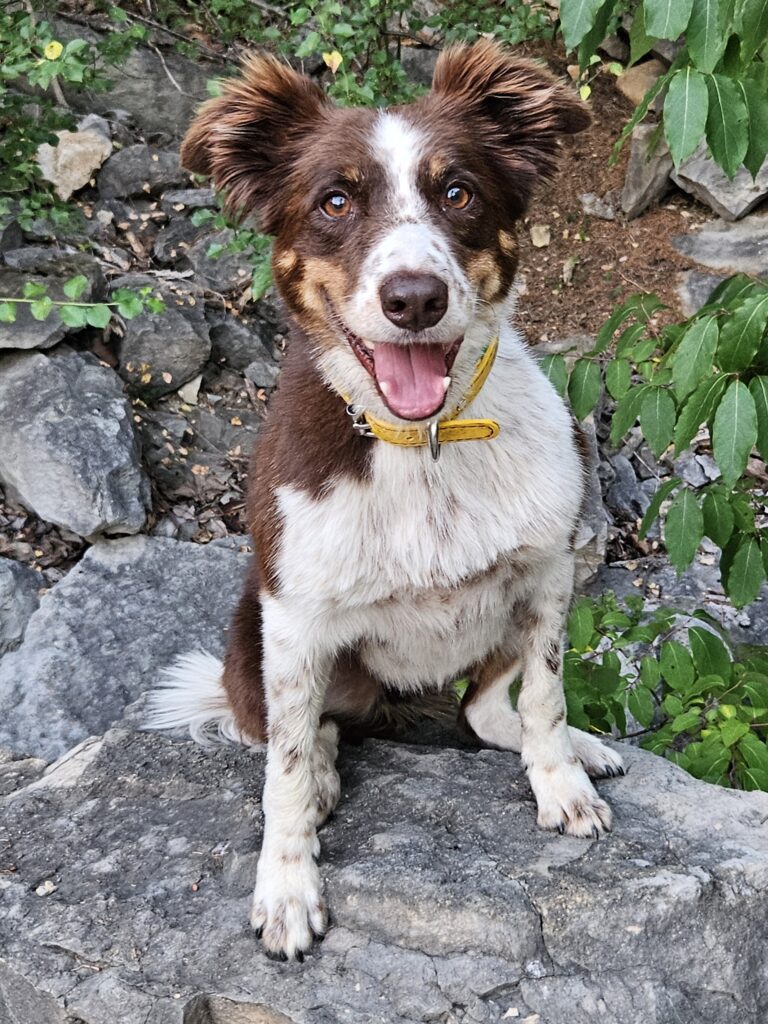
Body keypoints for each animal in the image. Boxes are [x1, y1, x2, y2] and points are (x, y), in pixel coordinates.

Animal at [146, 40, 625, 961]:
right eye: (335, 200)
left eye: (458, 192)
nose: (414, 299)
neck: (425, 444)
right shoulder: (293, 620)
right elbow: (285, 769)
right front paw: (287, 887)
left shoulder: (550, 573)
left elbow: (543, 700)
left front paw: (562, 783)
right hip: (249, 634)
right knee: (296, 731)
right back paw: (327, 775)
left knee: (480, 708)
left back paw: (578, 747)